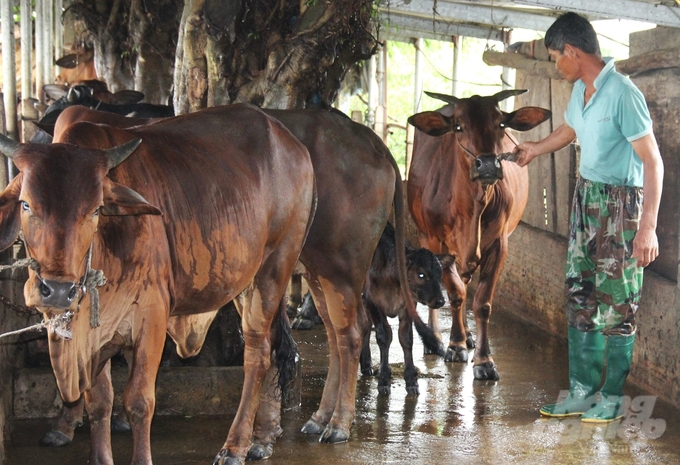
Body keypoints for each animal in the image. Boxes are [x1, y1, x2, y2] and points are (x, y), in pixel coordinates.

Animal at [0, 103, 316, 462]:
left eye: (95, 210)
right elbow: (100, 402)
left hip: (274, 269)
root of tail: (294, 146)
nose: (57, 290)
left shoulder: (151, 315)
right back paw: (261, 438)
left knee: (258, 354)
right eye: (26, 204)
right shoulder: (96, 336)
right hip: (245, 281)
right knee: (275, 346)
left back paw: (236, 445)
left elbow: (138, 400)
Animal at [406, 90, 548, 380]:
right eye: (458, 126)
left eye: (501, 124)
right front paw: (455, 344)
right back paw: (437, 335)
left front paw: (484, 359)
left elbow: (481, 302)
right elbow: (455, 293)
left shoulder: (499, 244)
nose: (488, 165)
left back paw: (468, 334)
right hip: (425, 236)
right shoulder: (440, 243)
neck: (472, 206)